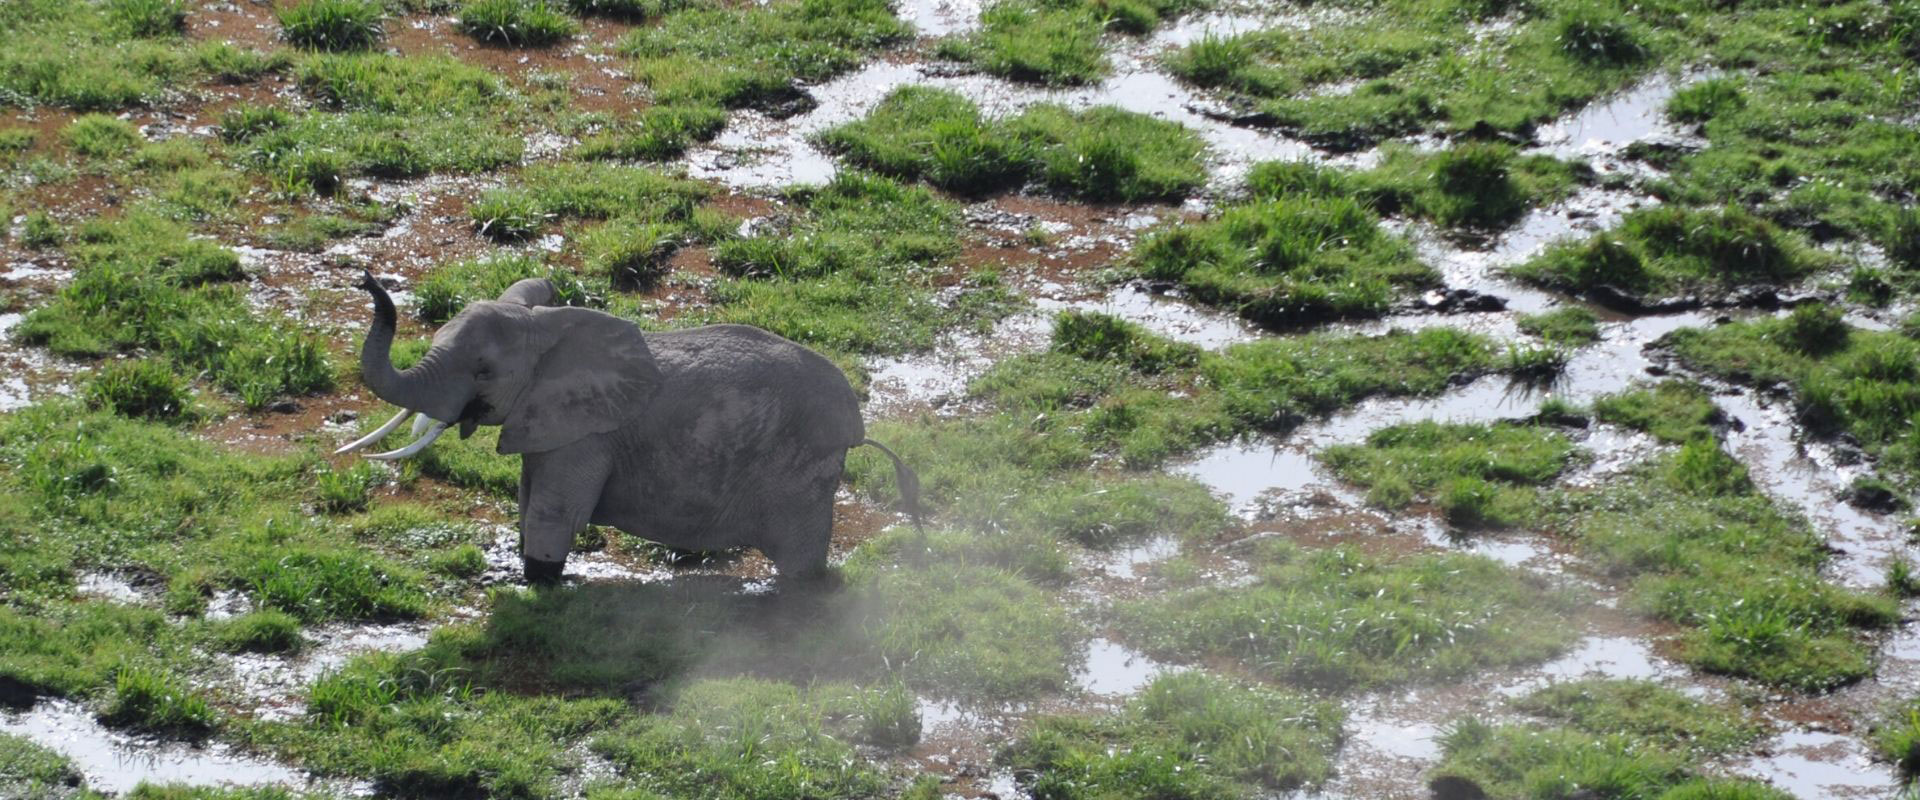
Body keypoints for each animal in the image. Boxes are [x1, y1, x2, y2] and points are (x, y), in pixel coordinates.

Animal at [336, 270, 921, 583]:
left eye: (482, 371)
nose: (365, 278)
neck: (548, 332)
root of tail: (858, 424)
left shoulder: (587, 435)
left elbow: (554, 511)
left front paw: (539, 585)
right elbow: (527, 498)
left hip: (802, 469)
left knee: (799, 558)